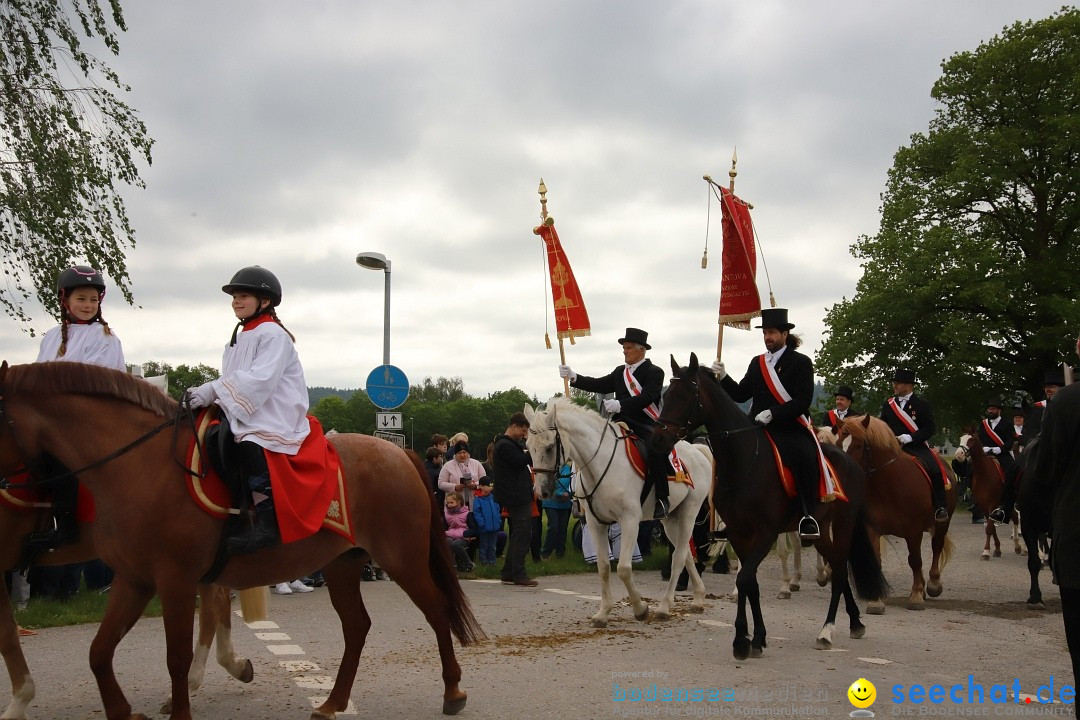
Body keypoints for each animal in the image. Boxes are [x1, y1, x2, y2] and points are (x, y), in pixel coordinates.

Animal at [0, 362, 486, 716]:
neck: (139, 466)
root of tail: (399, 453)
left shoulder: (174, 580)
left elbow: (174, 658)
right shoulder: (134, 580)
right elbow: (99, 652)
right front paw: (122, 711)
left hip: (402, 558)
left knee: (436, 610)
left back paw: (454, 692)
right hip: (343, 563)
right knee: (357, 627)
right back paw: (332, 702)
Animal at [524, 397, 712, 626]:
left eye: (550, 447)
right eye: (528, 447)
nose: (541, 492)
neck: (600, 464)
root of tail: (696, 450)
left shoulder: (630, 520)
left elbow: (623, 569)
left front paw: (640, 608)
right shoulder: (595, 523)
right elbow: (604, 567)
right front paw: (603, 612)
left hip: (688, 512)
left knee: (678, 557)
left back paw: (664, 607)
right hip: (670, 519)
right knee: (685, 554)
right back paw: (698, 598)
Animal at [648, 351, 885, 660]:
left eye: (685, 395)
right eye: (666, 394)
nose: (657, 439)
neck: (743, 459)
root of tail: (852, 464)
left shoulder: (766, 533)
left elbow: (744, 579)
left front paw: (741, 640)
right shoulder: (739, 534)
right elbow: (750, 583)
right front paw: (756, 638)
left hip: (843, 525)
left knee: (841, 570)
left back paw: (827, 631)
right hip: (820, 531)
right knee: (837, 567)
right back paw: (855, 622)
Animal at [829, 414, 959, 613]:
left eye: (858, 445)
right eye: (837, 443)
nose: (840, 477)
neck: (888, 482)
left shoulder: (913, 530)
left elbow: (915, 560)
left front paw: (916, 596)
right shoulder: (872, 528)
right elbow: (877, 560)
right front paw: (876, 601)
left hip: (942, 521)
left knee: (936, 546)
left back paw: (933, 584)